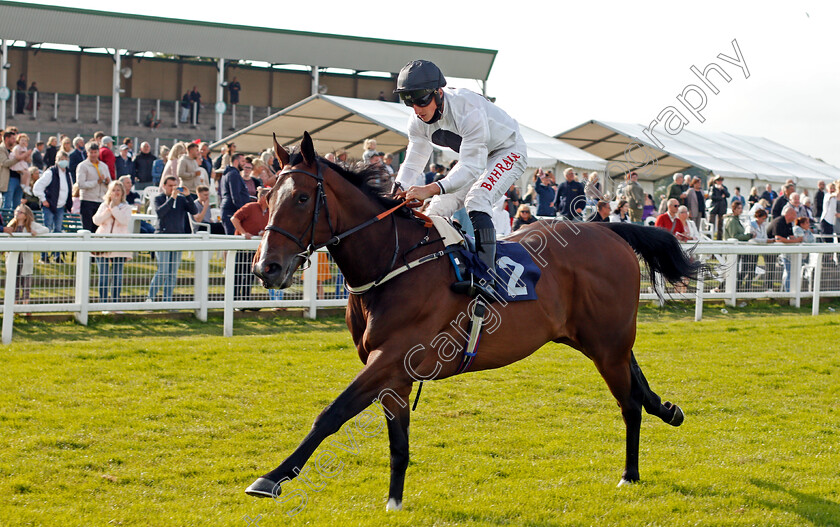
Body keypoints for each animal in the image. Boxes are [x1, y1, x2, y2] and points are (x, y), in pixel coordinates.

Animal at [248, 133, 704, 512]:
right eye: (266, 196)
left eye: (302, 198)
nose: (266, 268)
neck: (391, 264)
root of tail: (611, 230)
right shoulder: (394, 373)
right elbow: (398, 442)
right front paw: (394, 502)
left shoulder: (391, 357)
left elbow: (332, 413)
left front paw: (270, 479)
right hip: (598, 340)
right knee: (637, 384)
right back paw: (668, 411)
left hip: (607, 345)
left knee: (628, 403)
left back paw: (630, 473)